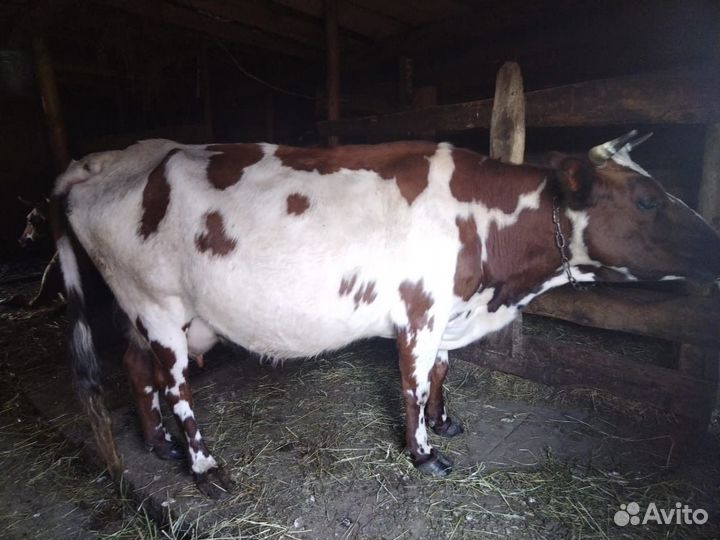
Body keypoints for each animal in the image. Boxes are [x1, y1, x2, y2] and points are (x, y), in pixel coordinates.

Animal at [50, 131, 720, 497]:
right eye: (647, 199)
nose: (714, 241)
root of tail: (103, 161)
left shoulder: (449, 309)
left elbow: (444, 372)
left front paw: (446, 423)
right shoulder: (420, 310)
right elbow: (414, 383)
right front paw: (424, 453)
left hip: (160, 313)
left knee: (137, 367)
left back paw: (157, 444)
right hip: (157, 304)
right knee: (176, 385)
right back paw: (204, 466)